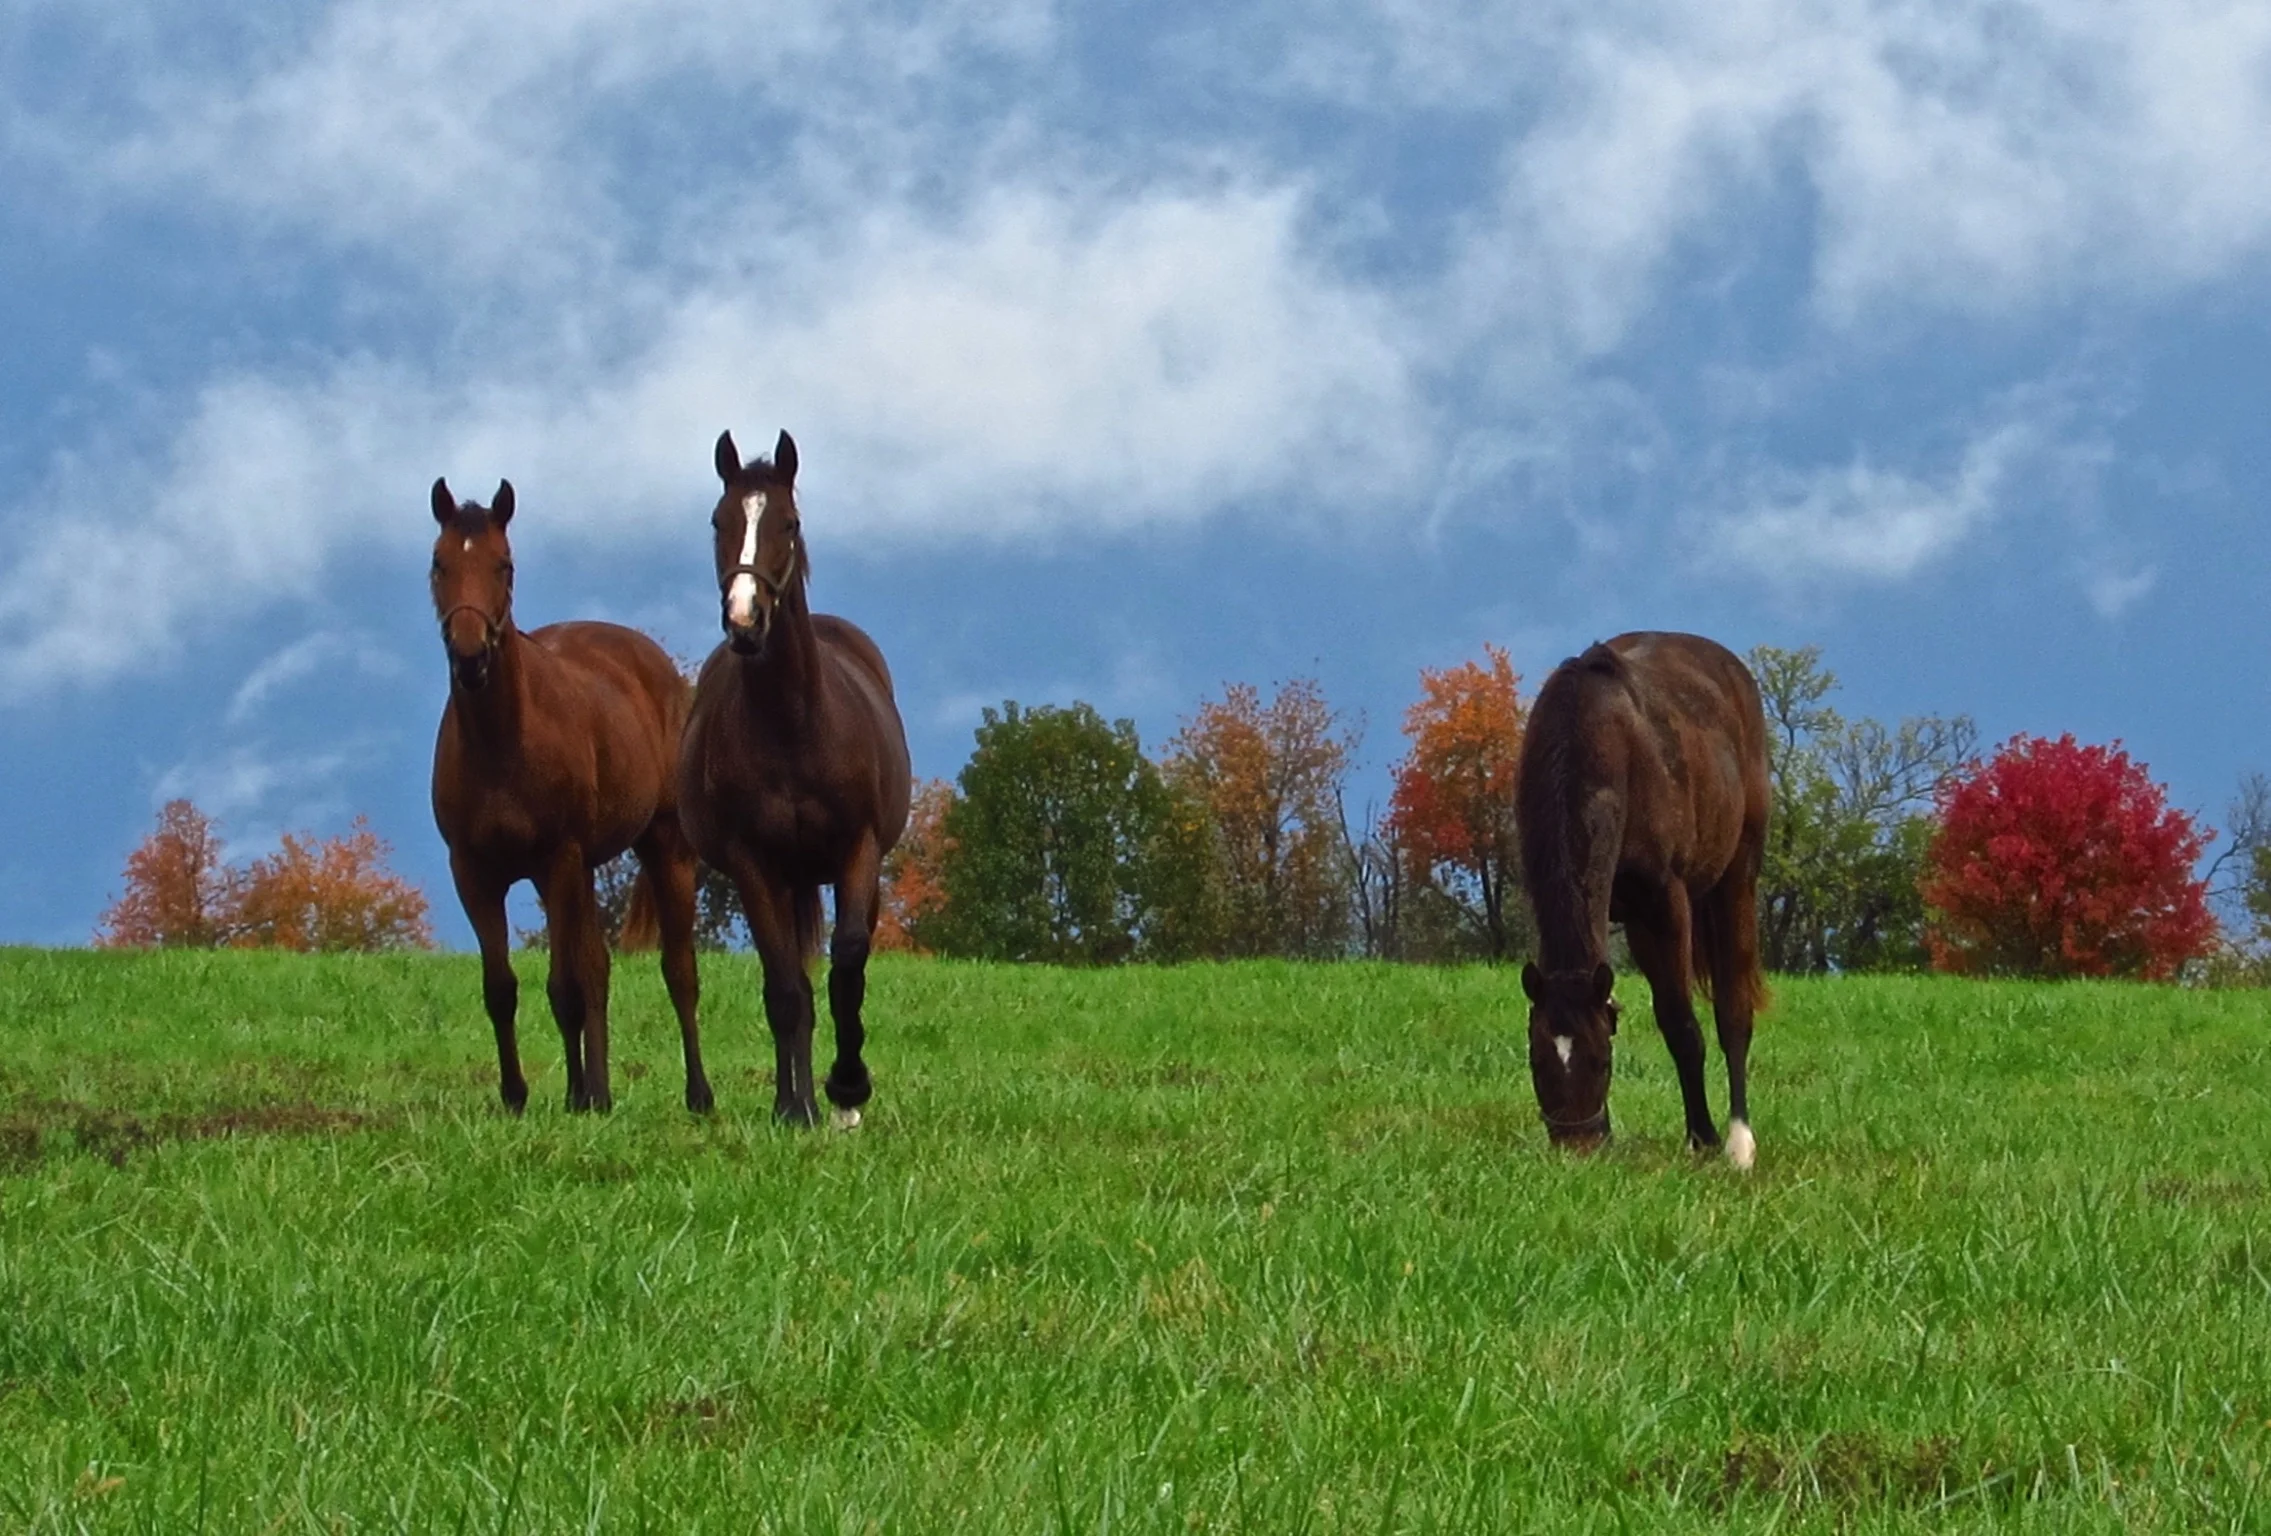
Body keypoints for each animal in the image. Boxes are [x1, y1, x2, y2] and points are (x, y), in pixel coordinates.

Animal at [427, 477, 711, 1114]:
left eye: (504, 564)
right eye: (438, 563)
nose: (469, 656)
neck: (502, 743)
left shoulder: (556, 860)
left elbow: (562, 986)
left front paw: (572, 1097)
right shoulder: (473, 873)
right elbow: (503, 988)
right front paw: (519, 1095)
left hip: (665, 847)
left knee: (678, 969)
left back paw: (697, 1094)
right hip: (581, 869)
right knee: (598, 969)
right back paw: (598, 1090)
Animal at [678, 430, 912, 1128]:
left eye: (789, 522)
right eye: (719, 521)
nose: (744, 621)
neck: (795, 727)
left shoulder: (858, 851)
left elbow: (849, 966)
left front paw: (849, 1088)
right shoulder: (754, 865)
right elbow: (786, 988)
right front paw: (798, 1105)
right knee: (785, 981)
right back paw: (794, 1097)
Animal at [1514, 631, 1770, 1168]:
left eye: (1601, 1060)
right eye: (1536, 1059)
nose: (1578, 1148)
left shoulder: (1663, 904)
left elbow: (1680, 1024)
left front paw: (1702, 1138)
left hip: (1738, 876)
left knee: (1733, 1012)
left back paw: (1739, 1143)